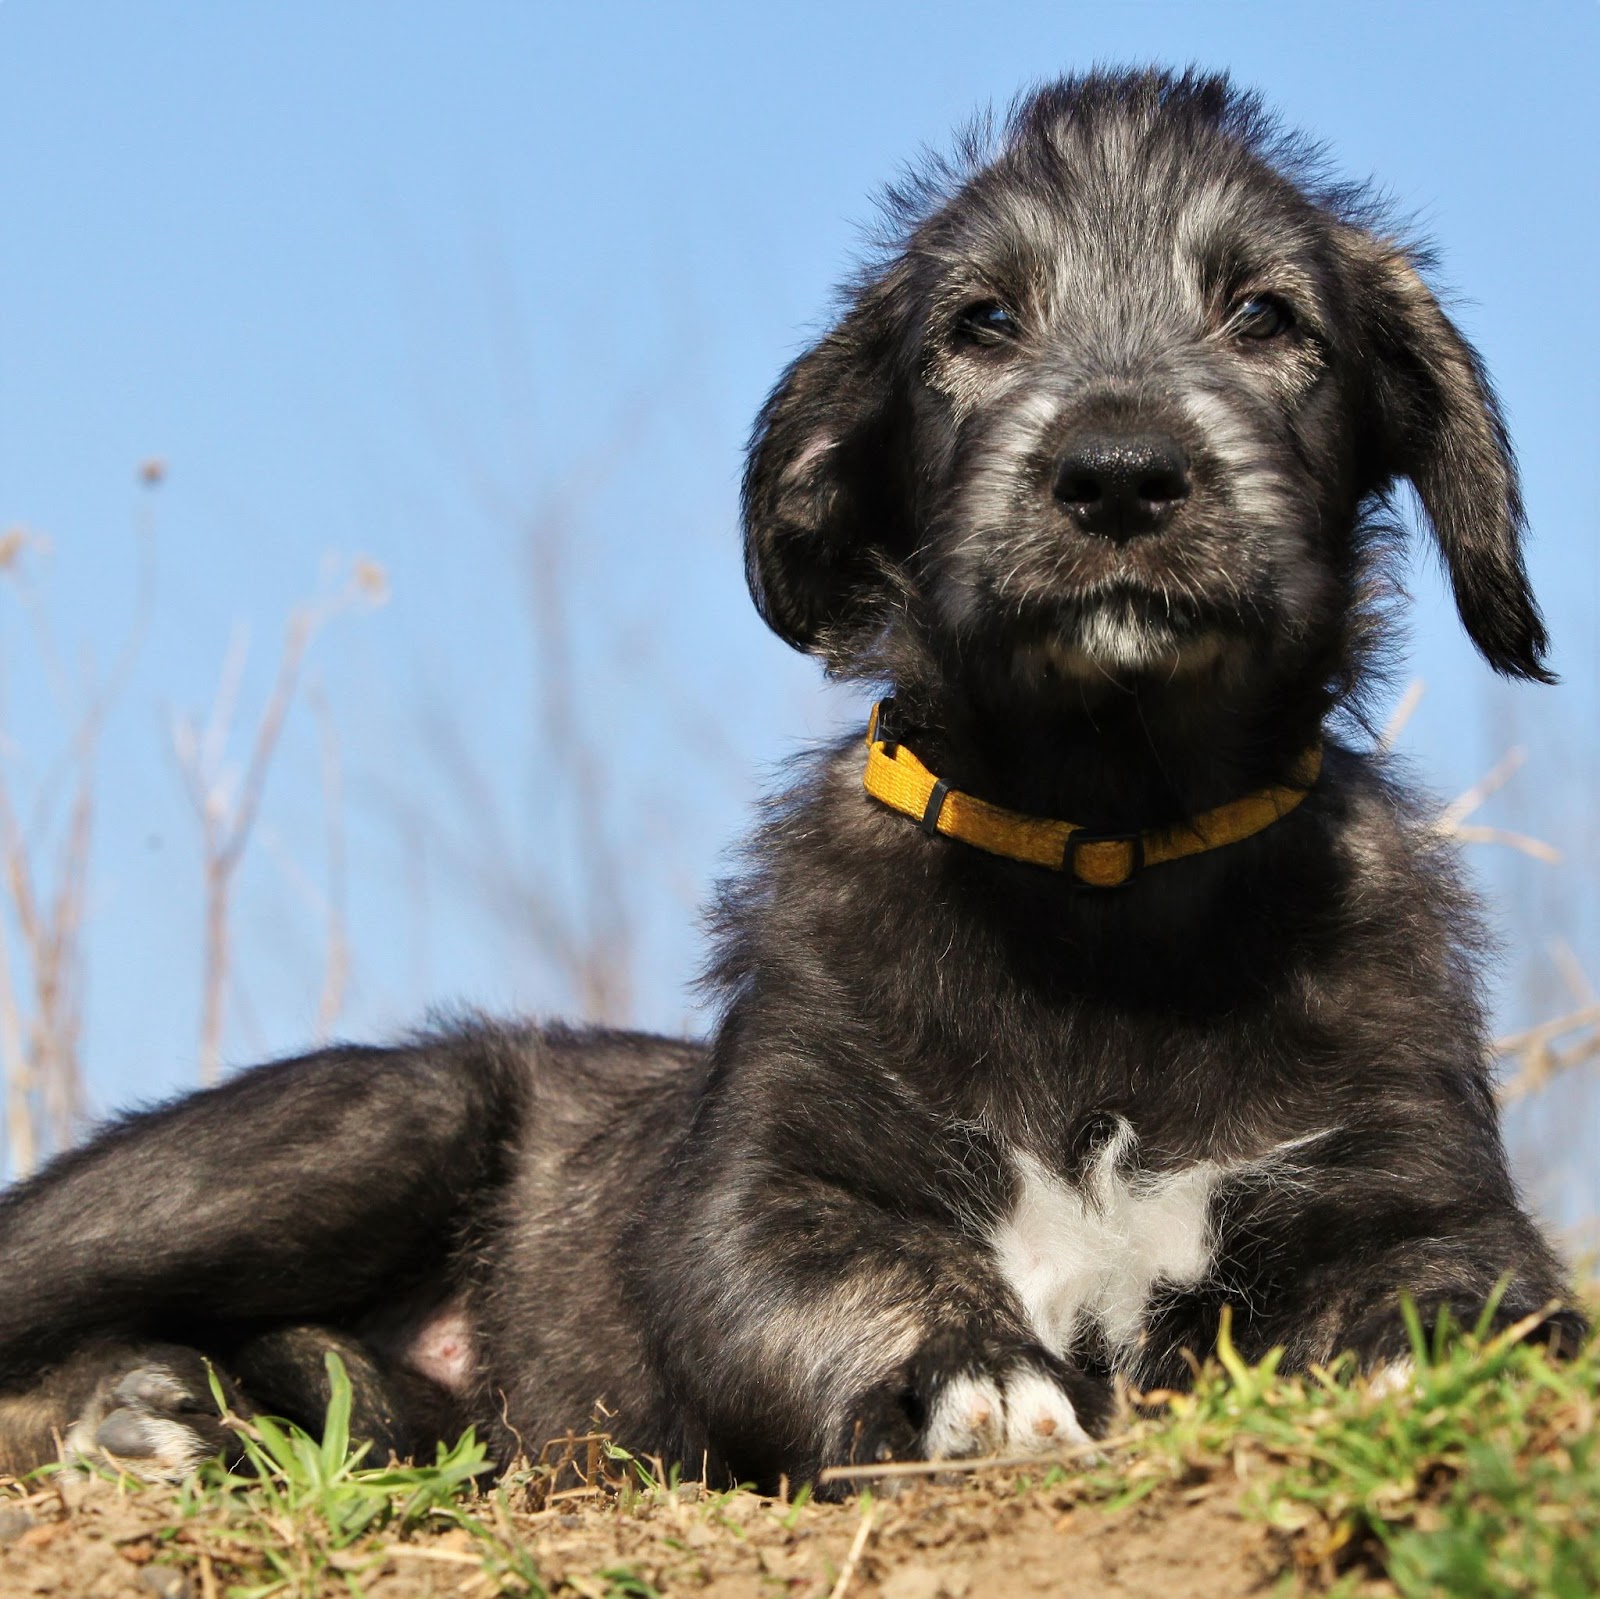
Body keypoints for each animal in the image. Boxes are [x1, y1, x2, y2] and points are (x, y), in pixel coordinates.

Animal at [0, 68, 1580, 1491]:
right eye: (981, 321)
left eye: (1264, 316)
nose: (1119, 474)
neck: (1106, 851)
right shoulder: (768, 1187)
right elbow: (832, 1279)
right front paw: (971, 1382)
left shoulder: (1413, 1172)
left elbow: (1477, 1284)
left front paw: (1419, 1351)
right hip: (362, 1128)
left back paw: (182, 1410)